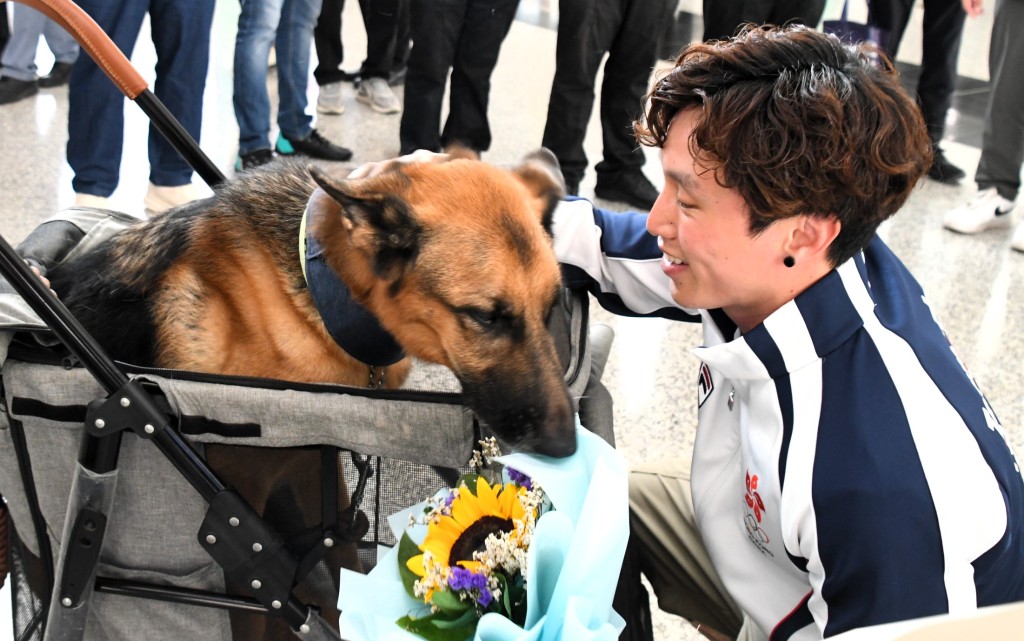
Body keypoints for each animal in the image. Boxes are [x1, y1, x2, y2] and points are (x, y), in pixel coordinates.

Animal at [46, 150, 577, 638]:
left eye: (551, 307)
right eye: (486, 317)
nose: (567, 445)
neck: (320, 290)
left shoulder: (314, 466)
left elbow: (344, 560)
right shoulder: (244, 513)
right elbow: (256, 605)